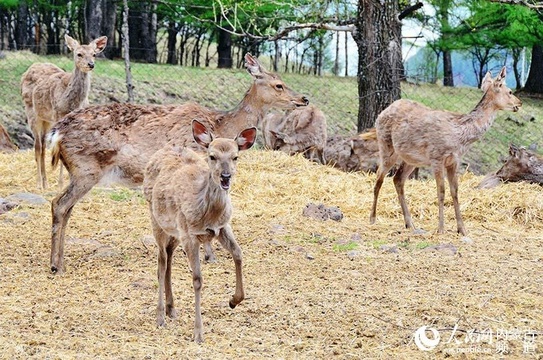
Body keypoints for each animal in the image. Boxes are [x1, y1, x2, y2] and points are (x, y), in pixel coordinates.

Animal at [20, 34, 107, 190]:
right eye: (79, 54)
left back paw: (45, 182)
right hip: (31, 111)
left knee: (43, 144)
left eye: (94, 54)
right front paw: (61, 184)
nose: (91, 64)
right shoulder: (58, 115)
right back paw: (39, 183)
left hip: (47, 119)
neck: (72, 102)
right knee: (38, 145)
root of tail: (29, 68)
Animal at [49, 52, 308, 272]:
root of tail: (56, 131)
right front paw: (208, 255)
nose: (304, 98)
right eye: (278, 84)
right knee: (59, 204)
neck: (221, 126)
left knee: (67, 208)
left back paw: (61, 259)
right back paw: (55, 265)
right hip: (86, 169)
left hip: (79, 171)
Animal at [143, 120, 256, 344]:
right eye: (212, 156)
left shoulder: (222, 227)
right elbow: (197, 280)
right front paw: (198, 334)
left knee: (168, 256)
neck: (208, 214)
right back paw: (160, 317)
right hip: (158, 221)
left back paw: (171, 309)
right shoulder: (190, 234)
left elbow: (239, 254)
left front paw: (233, 300)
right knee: (161, 262)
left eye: (235, 156)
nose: (226, 177)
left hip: (175, 232)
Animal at [370, 67, 524, 236]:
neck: (460, 137)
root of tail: (382, 112)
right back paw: (373, 219)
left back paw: (410, 223)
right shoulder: (437, 157)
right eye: (510, 91)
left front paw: (462, 229)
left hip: (411, 159)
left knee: (397, 179)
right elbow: (441, 191)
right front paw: (441, 228)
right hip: (386, 146)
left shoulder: (454, 161)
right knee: (378, 177)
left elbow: (455, 191)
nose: (519, 103)